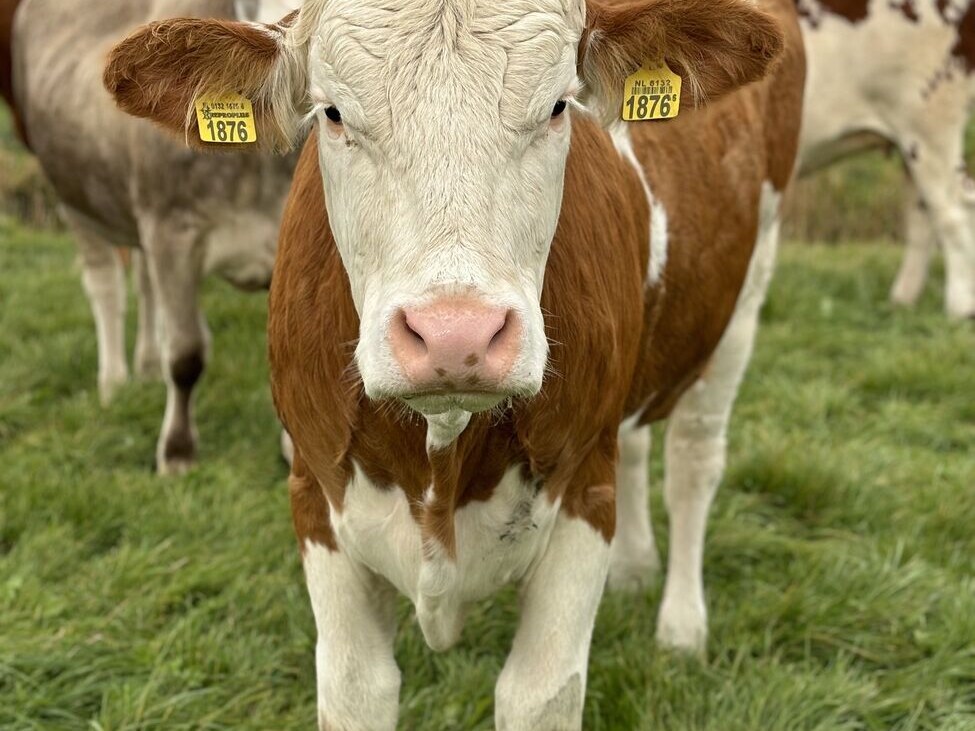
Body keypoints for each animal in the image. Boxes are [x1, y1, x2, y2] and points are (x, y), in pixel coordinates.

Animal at [12, 0, 300, 473]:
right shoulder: (172, 232)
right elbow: (186, 354)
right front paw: (177, 452)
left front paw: (295, 450)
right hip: (75, 200)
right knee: (106, 286)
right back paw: (113, 383)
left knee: (145, 284)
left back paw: (145, 367)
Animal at [105, 0, 805, 727]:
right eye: (332, 113)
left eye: (559, 106)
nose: (453, 336)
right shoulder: (315, 492)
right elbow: (357, 687)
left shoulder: (584, 487)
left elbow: (539, 692)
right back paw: (637, 568)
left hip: (747, 288)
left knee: (695, 459)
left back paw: (681, 626)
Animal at [797, 0, 975, 319]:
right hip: (912, 140)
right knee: (923, 213)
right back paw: (902, 302)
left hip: (929, 119)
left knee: (954, 209)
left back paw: (960, 308)